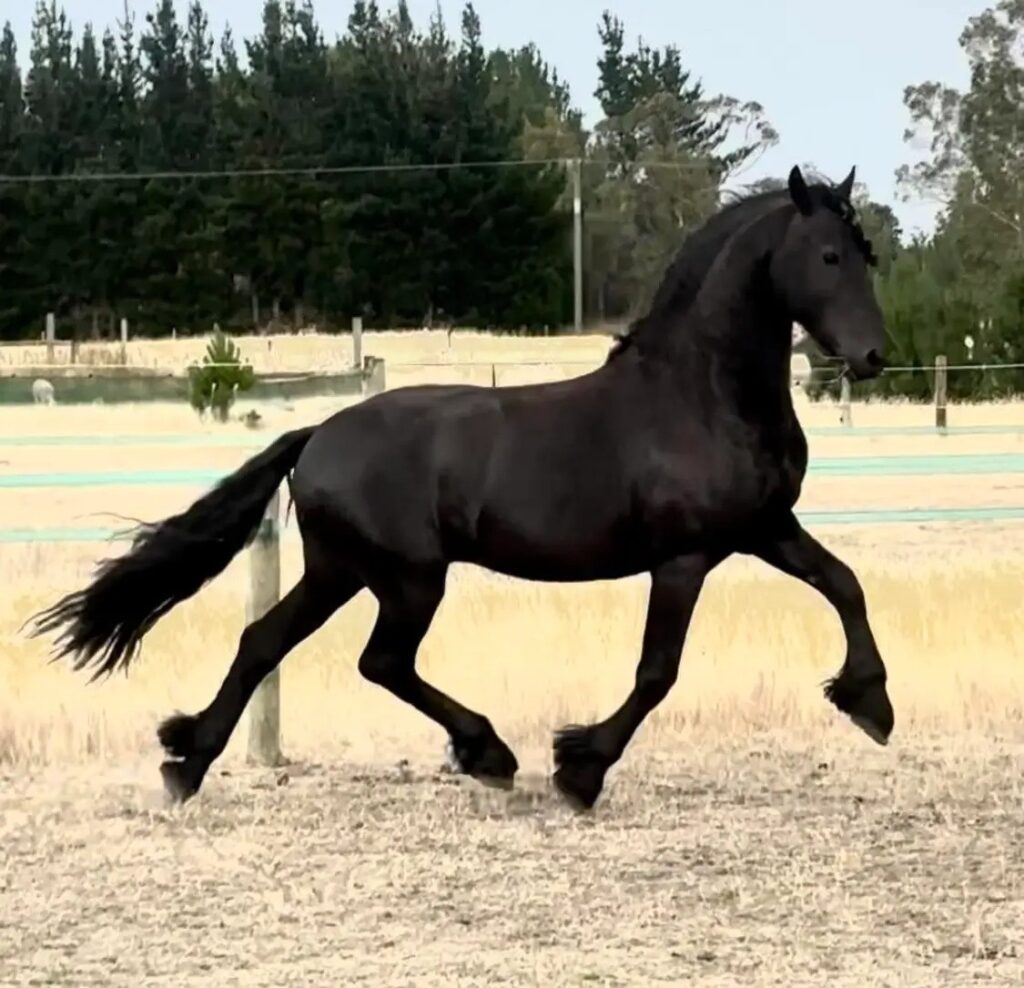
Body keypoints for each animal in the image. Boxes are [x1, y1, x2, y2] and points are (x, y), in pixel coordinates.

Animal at [30, 165, 894, 812]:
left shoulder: (763, 529)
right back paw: (488, 752)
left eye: (867, 254)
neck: (699, 395)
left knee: (265, 642)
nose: (874, 356)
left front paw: (870, 705)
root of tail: (319, 435)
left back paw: (187, 762)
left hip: (341, 571)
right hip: (408, 577)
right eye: (826, 256)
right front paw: (580, 769)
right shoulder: (683, 559)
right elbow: (657, 671)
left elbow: (846, 584)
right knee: (380, 661)